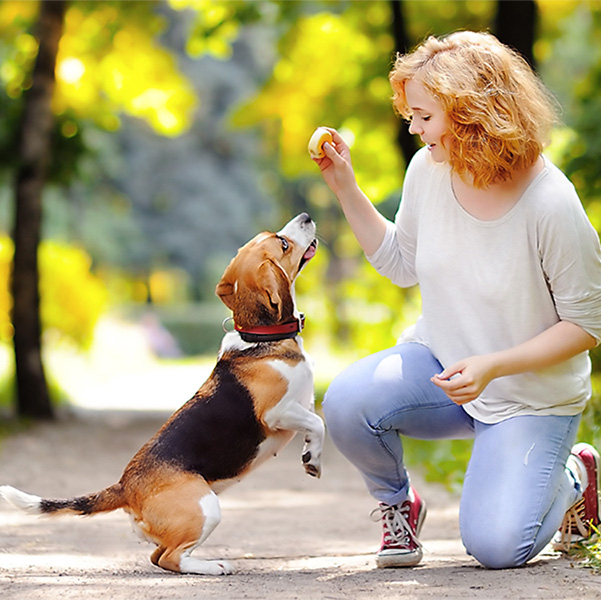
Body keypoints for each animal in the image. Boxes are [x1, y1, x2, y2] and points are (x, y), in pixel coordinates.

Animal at [0, 213, 324, 576]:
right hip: (206, 508)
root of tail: (125, 486)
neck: (260, 338)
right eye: (282, 243)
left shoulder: (303, 405)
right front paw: (313, 460)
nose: (306, 217)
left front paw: (310, 454)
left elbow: (315, 422)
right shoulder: (277, 412)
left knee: (159, 557)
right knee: (171, 557)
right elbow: (318, 423)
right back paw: (213, 566)